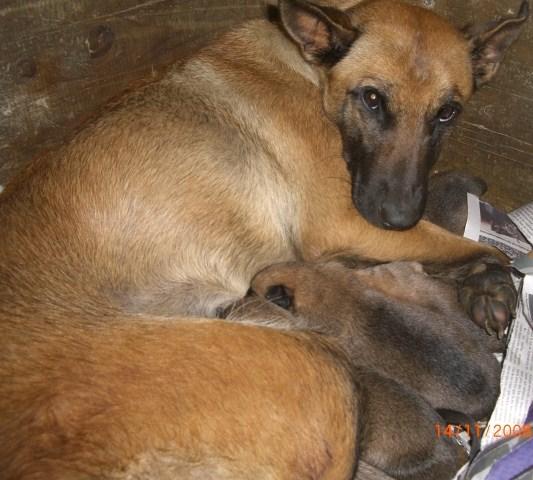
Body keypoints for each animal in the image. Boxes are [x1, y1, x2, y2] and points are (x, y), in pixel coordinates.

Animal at [0, 0, 528, 478]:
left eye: (447, 113)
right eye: (373, 99)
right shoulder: (342, 222)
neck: (310, 72)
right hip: (316, 363)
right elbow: (487, 249)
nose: (397, 216)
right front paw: (491, 283)